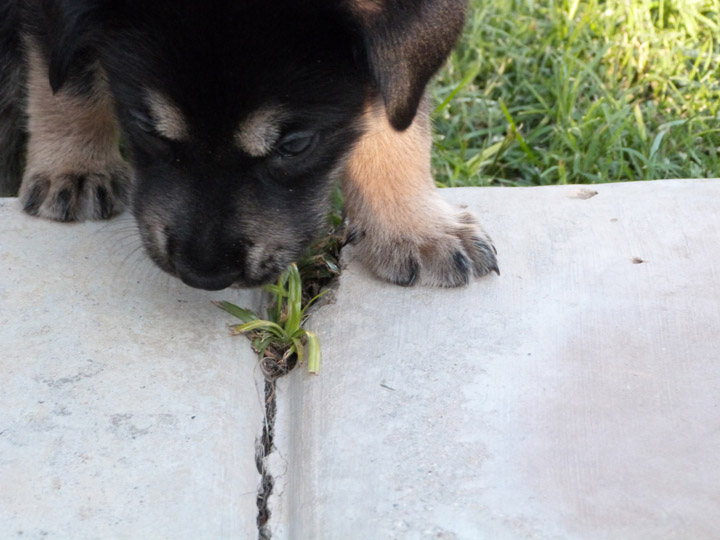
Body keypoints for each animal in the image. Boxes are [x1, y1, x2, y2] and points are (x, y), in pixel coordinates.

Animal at [0, 0, 496, 292]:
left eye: (295, 144)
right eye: (144, 122)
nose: (204, 276)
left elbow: (396, 111)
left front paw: (415, 228)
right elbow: (64, 71)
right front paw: (74, 166)